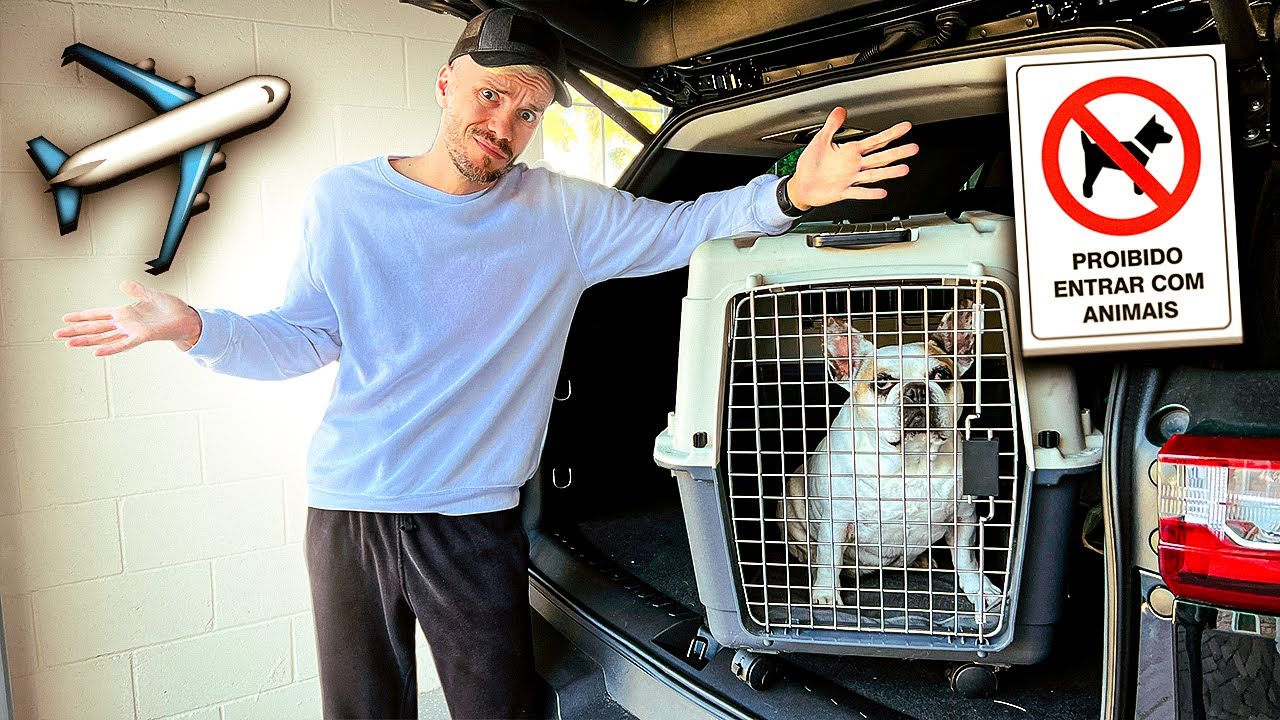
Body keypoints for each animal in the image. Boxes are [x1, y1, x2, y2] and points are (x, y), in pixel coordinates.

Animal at [778, 299, 998, 620]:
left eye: (941, 376)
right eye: (882, 383)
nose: (916, 390)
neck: (911, 460)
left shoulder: (963, 518)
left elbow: (967, 560)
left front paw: (980, 590)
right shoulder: (836, 522)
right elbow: (829, 560)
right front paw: (826, 595)